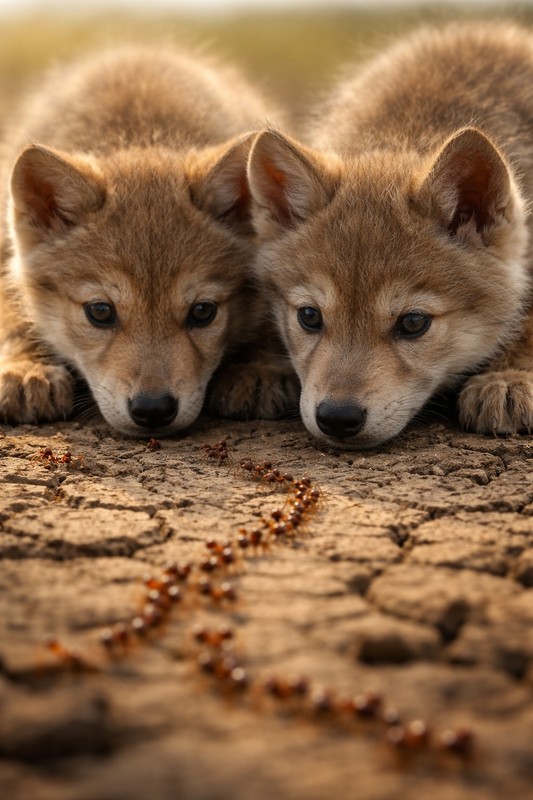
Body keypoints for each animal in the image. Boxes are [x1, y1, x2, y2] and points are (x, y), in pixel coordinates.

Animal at [0, 45, 289, 435]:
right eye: (100, 311)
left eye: (203, 312)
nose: (153, 410)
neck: (140, 134)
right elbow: (12, 316)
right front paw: (25, 368)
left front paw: (260, 367)